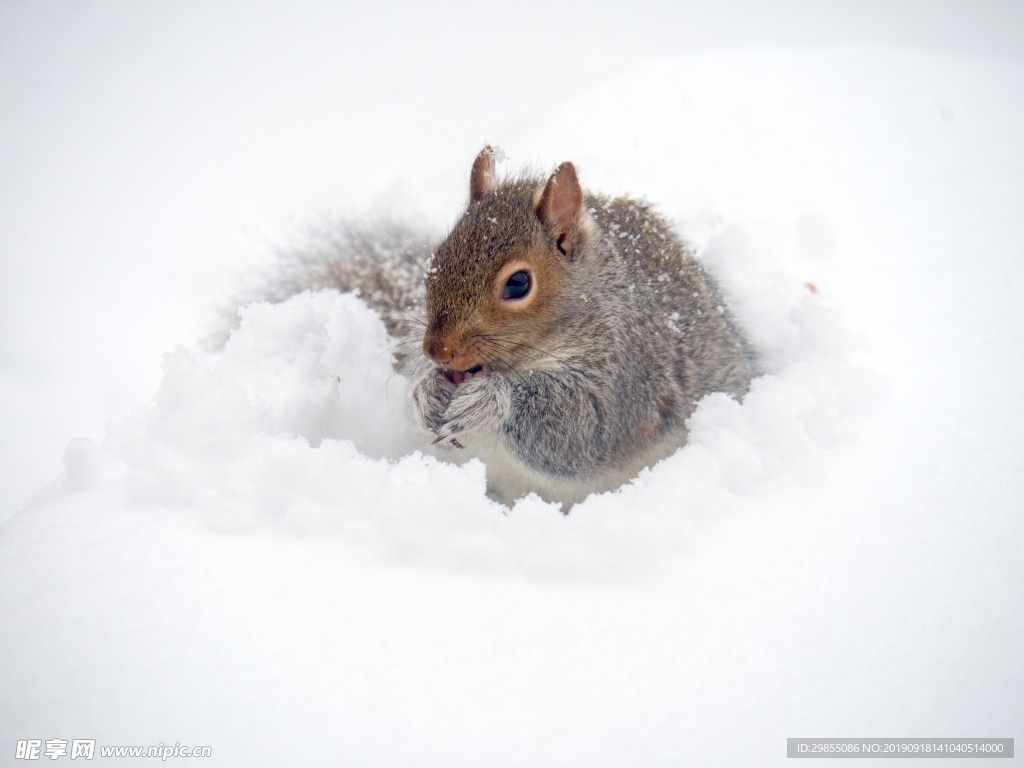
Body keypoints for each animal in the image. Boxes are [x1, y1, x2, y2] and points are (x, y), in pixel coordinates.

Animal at [268, 148, 757, 512]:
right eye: (436, 258)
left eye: (518, 283)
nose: (437, 352)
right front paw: (426, 391)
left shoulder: (627, 371)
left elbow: (584, 426)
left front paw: (489, 401)